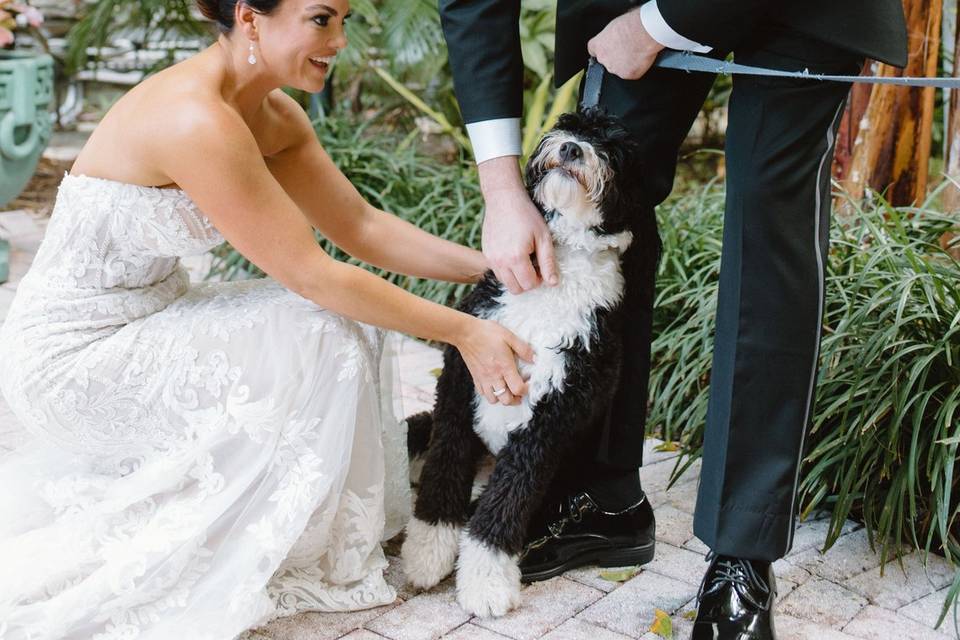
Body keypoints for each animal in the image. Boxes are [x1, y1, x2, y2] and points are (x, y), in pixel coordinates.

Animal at [398, 107, 652, 616]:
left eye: (613, 148)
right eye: (568, 124)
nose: (571, 148)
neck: (561, 266)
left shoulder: (553, 415)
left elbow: (507, 500)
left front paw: (486, 581)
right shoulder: (461, 378)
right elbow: (443, 468)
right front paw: (427, 549)